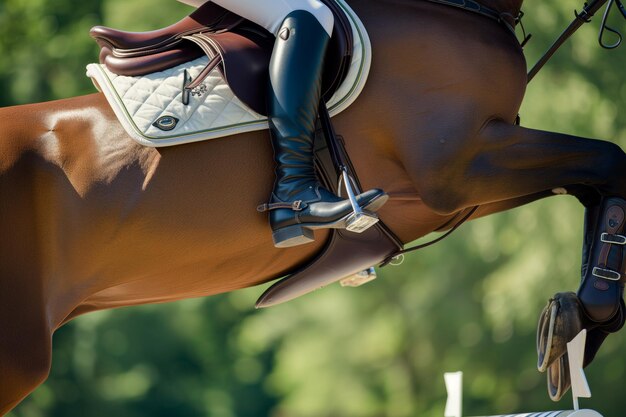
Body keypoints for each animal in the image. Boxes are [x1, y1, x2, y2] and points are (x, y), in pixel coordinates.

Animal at [1, 0, 624, 412]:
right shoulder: (462, 165)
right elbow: (610, 160)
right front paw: (590, 314)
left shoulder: (460, 189)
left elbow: (594, 180)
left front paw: (573, 325)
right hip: (19, 356)